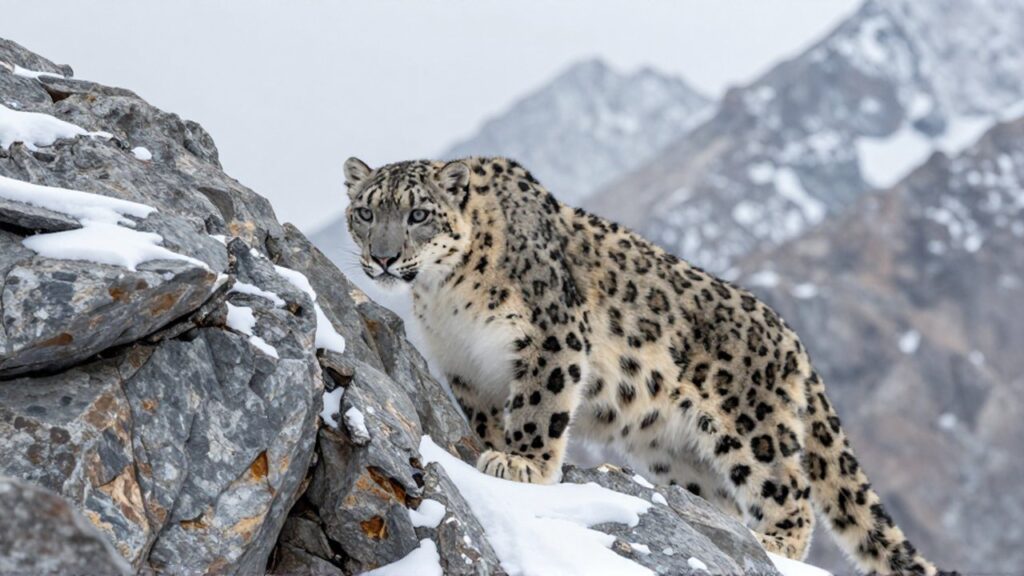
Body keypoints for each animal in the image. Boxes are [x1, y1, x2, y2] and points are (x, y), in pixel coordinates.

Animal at [342, 155, 950, 575]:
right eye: (366, 212)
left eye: (419, 214)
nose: (384, 257)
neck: (446, 295)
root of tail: (791, 337)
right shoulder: (467, 368)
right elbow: (490, 419)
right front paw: (494, 451)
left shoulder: (553, 335)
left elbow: (538, 406)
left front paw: (522, 465)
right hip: (678, 455)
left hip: (753, 427)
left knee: (791, 491)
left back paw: (773, 543)